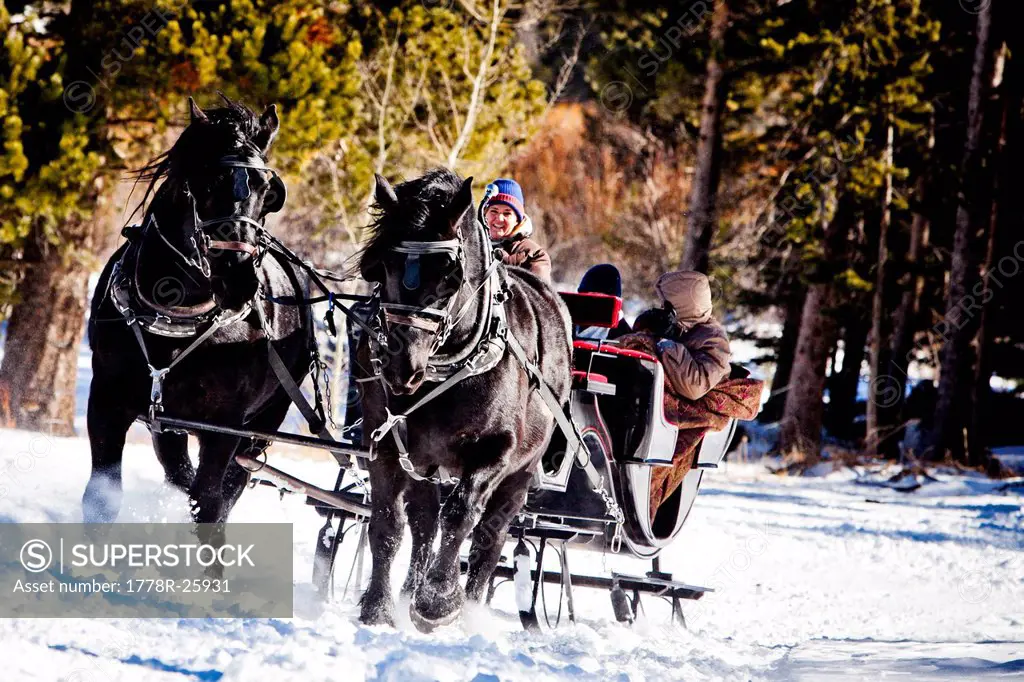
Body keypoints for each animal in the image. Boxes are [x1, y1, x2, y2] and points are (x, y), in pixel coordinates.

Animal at [83, 95, 309, 522]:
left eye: (269, 190)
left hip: (264, 423)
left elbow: (209, 503)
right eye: (206, 182)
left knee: (226, 486)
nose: (239, 279)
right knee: (178, 471)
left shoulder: (226, 427)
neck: (174, 316)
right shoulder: (106, 402)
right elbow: (101, 500)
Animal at [356, 166, 573, 622]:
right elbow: (387, 523)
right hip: (427, 462)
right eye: (382, 266)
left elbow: (460, 517)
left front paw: (438, 601)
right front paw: (378, 609)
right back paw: (409, 590)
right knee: (424, 522)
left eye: (450, 275)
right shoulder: (386, 444)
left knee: (491, 536)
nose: (401, 366)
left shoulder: (495, 452)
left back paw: (467, 606)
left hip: (521, 473)